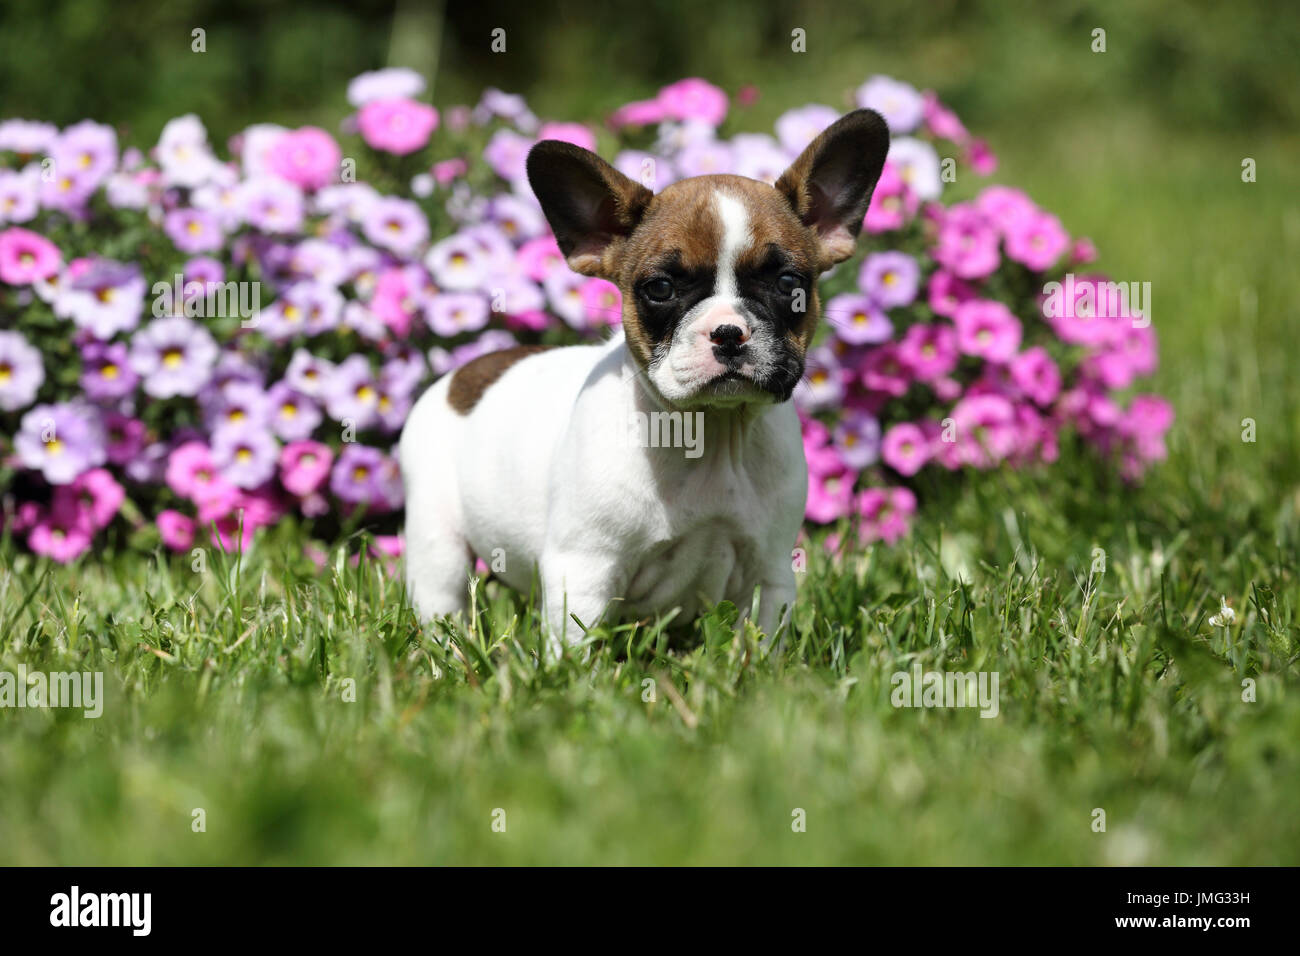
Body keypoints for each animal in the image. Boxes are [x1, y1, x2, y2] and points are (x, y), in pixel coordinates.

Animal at [403, 108, 894, 647]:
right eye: (659, 288)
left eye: (789, 283)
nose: (728, 332)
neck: (712, 432)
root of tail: (464, 373)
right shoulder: (585, 570)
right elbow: (574, 646)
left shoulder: (770, 573)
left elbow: (761, 641)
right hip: (437, 539)